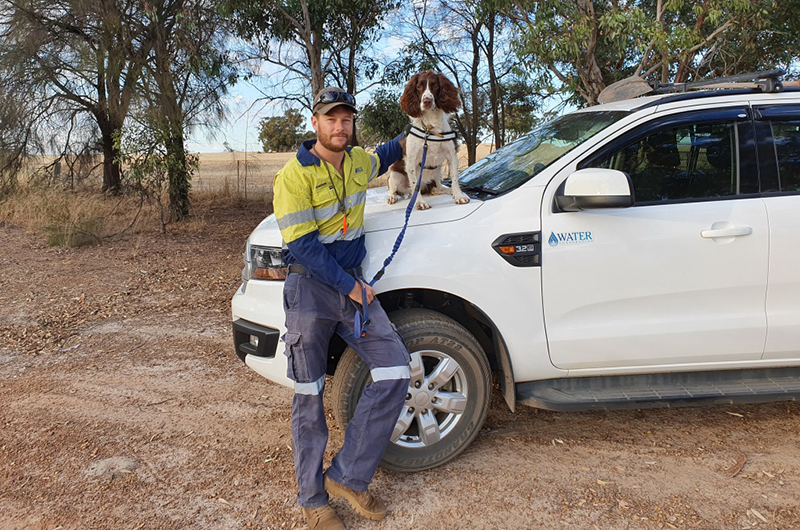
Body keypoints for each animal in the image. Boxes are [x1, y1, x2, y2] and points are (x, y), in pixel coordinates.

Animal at [386, 71, 468, 207]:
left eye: (435, 86)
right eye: (419, 86)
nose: (427, 101)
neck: (430, 128)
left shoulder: (452, 155)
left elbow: (455, 179)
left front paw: (459, 195)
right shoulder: (411, 161)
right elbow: (415, 185)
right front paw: (420, 202)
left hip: (437, 173)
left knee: (437, 188)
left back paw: (447, 191)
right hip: (395, 175)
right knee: (395, 189)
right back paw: (392, 197)